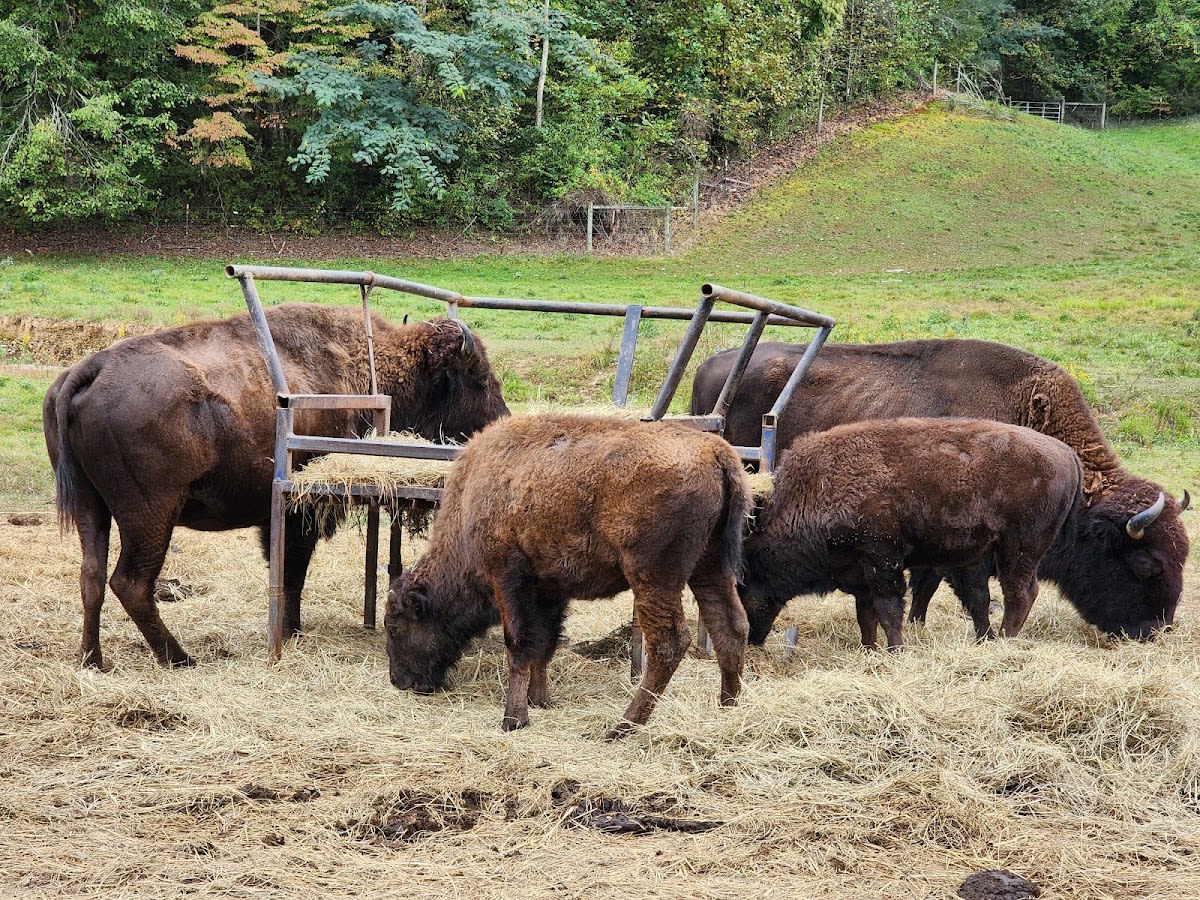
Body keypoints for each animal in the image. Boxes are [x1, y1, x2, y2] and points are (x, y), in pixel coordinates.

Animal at [44, 303, 508, 669]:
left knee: (91, 575)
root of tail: (90, 369)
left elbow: (286, 571)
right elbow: (292, 573)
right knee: (130, 582)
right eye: (480, 379)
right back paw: (179, 658)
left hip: (91, 507)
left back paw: (93, 660)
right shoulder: (299, 510)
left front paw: (292, 629)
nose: (499, 422)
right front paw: (290, 632)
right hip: (149, 515)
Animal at [385, 414, 752, 738]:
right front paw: (540, 701)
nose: (399, 681)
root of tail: (716, 452)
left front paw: (513, 719)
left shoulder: (507, 577)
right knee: (730, 627)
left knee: (668, 644)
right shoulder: (550, 590)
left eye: (396, 627)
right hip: (710, 567)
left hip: (654, 577)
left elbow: (519, 642)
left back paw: (621, 728)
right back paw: (728, 710)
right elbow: (544, 643)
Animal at [742, 418, 1085, 649]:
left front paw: (895, 650)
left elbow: (888, 610)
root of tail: (1066, 453)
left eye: (745, 586)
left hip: (1020, 547)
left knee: (1020, 593)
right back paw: (984, 640)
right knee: (983, 596)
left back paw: (1004, 641)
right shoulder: (860, 573)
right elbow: (866, 615)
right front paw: (869, 650)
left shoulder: (882, 560)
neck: (820, 487)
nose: (752, 639)